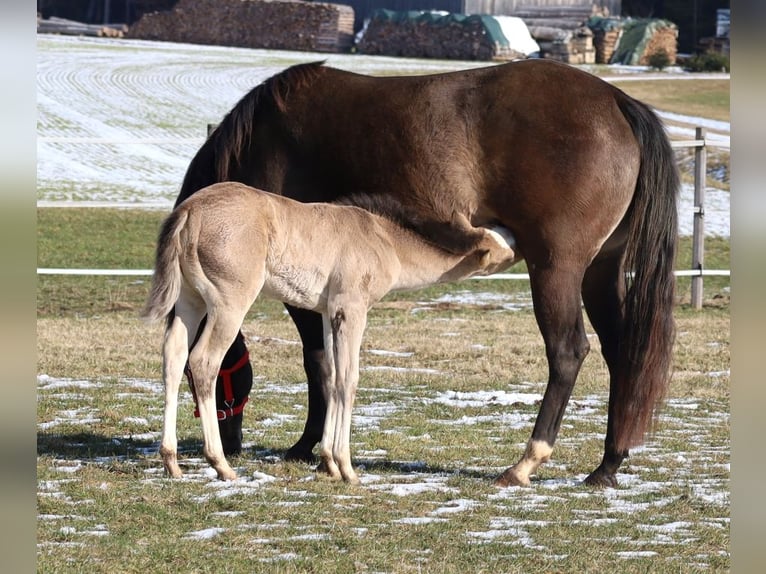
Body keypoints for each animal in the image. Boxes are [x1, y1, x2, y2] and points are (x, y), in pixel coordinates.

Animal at [144, 182, 518, 481]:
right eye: (502, 246)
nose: (519, 241)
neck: (385, 241)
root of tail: (190, 212)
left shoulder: (328, 314)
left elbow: (333, 376)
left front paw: (328, 463)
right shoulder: (352, 309)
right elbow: (349, 379)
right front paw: (347, 468)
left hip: (190, 301)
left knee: (173, 358)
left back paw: (171, 461)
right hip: (230, 302)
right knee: (203, 362)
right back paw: (221, 464)